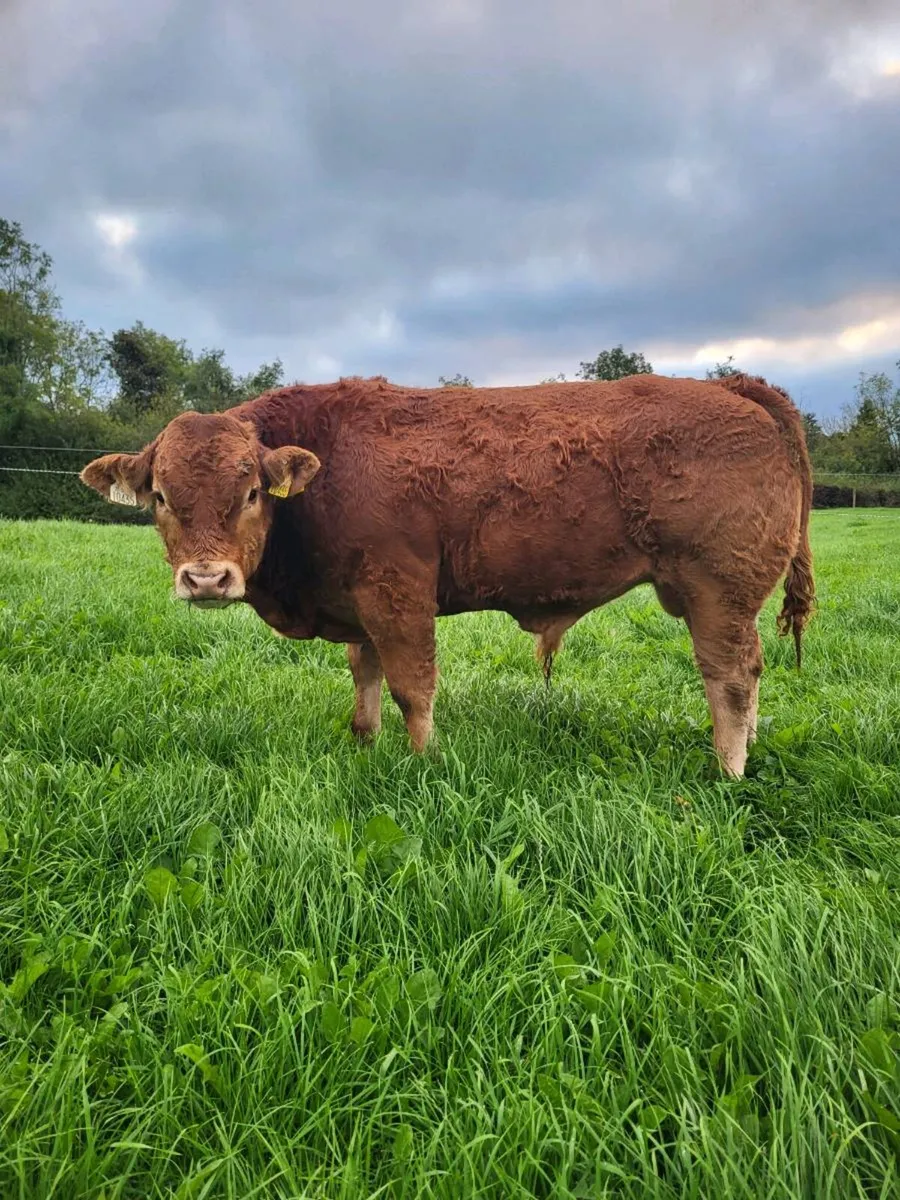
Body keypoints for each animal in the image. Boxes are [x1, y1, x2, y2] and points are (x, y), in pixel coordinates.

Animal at [79, 372, 814, 777]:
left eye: (252, 493)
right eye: (162, 497)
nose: (206, 580)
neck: (329, 458)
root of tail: (732, 389)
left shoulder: (397, 592)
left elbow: (413, 687)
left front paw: (423, 760)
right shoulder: (359, 604)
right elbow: (367, 679)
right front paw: (367, 745)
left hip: (718, 590)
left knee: (730, 678)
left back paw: (728, 770)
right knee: (750, 671)